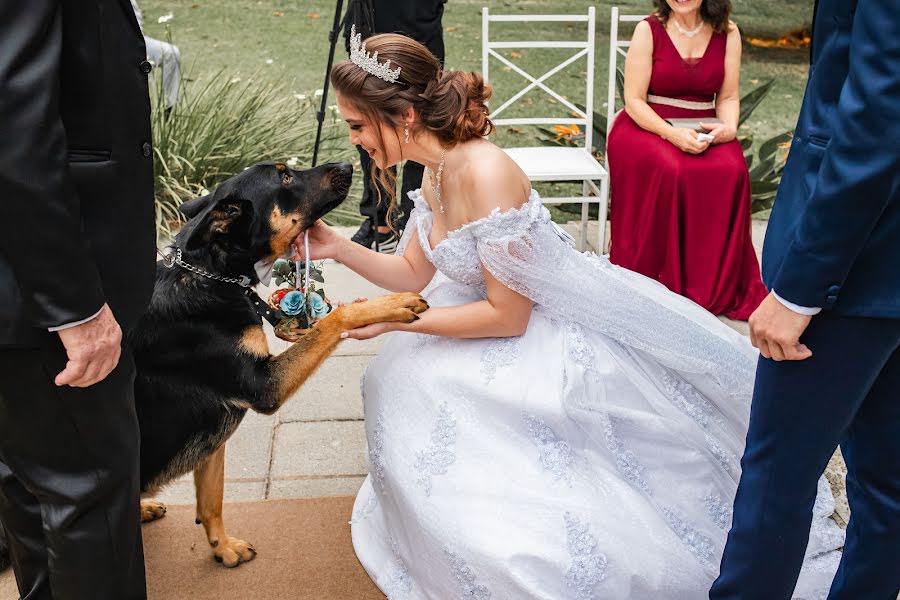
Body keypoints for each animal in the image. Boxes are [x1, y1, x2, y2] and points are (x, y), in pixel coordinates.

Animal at [0, 162, 428, 568]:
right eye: (285, 177)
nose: (348, 164)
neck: (212, 275)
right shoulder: (263, 386)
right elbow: (334, 319)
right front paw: (393, 303)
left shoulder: (215, 433)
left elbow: (211, 501)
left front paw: (222, 548)